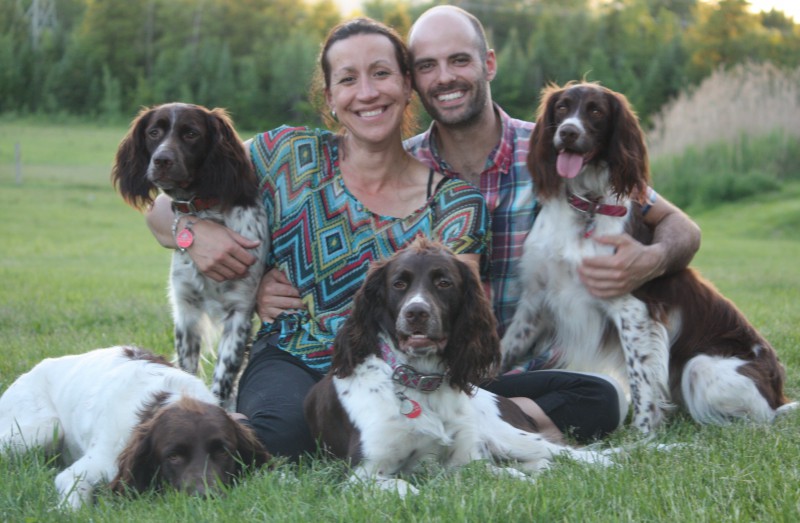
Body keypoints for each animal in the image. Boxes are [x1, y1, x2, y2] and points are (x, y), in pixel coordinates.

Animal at [111, 101, 268, 406]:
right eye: (154, 132)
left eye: (191, 134)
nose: (161, 160)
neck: (205, 212)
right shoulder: (187, 311)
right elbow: (186, 371)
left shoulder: (239, 312)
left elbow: (222, 381)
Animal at [306, 239, 612, 498]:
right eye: (398, 284)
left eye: (444, 283)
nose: (416, 313)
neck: (421, 381)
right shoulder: (360, 474)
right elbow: (407, 488)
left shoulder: (466, 460)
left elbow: (503, 475)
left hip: (509, 436)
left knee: (575, 453)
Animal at [500, 82, 792, 434]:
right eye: (562, 107)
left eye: (596, 110)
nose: (569, 132)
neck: (586, 206)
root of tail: (777, 391)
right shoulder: (536, 303)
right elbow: (501, 350)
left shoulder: (633, 311)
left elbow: (642, 381)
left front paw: (642, 436)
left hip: (701, 367)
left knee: (758, 420)